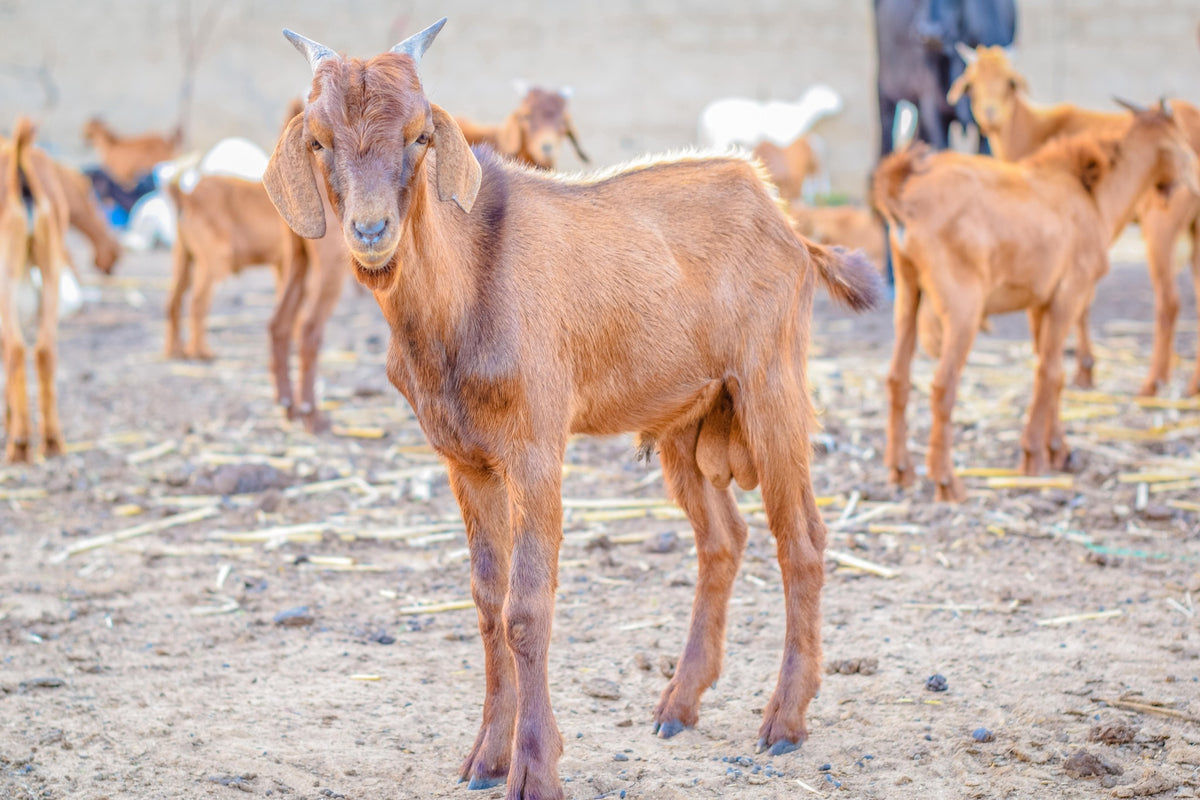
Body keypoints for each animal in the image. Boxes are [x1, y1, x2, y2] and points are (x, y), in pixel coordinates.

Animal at [873, 103, 1196, 502]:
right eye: (1184, 144)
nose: (1188, 184)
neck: (1092, 196)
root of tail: (904, 198)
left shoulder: (1039, 302)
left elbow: (1050, 370)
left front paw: (1058, 450)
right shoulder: (1070, 292)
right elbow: (1050, 372)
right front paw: (1034, 456)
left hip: (908, 291)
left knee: (897, 377)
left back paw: (900, 470)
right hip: (963, 305)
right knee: (942, 386)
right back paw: (947, 481)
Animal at [949, 44, 1200, 396]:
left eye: (1010, 83)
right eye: (971, 84)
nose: (990, 114)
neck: (1036, 129)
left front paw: (1081, 371)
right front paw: (1085, 370)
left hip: (1161, 223)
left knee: (1169, 301)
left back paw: (1153, 383)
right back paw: (1191, 385)